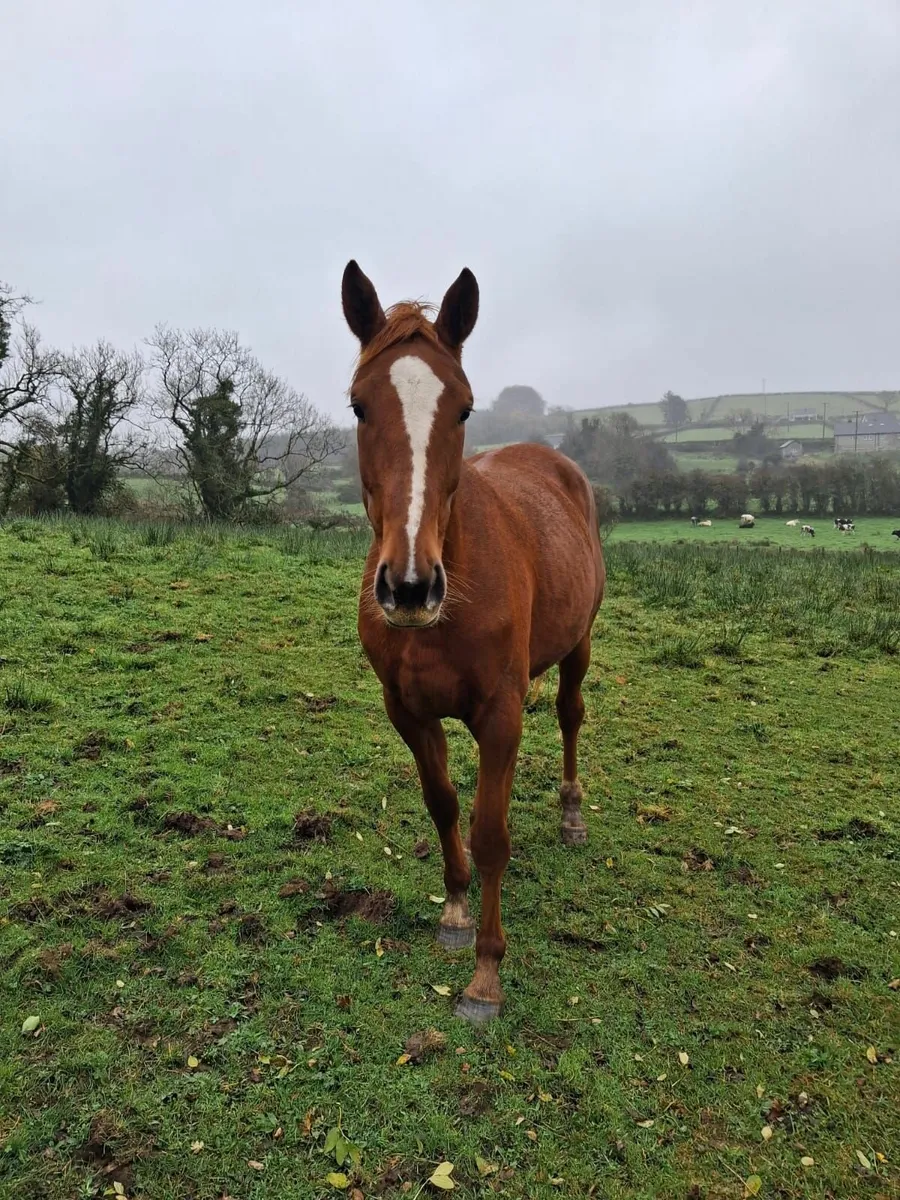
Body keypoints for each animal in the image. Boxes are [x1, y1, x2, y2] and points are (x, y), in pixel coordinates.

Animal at [341, 262, 605, 1023]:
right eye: (359, 406)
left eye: (461, 409)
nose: (408, 587)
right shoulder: (408, 711)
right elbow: (445, 805)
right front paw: (456, 913)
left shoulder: (499, 715)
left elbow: (491, 834)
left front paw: (487, 975)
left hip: (579, 644)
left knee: (571, 715)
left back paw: (572, 814)